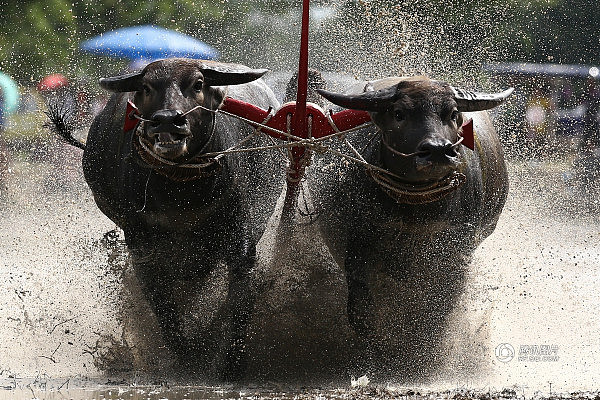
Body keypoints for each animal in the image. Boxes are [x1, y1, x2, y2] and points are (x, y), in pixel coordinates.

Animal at [79, 58, 284, 378]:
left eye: (198, 84)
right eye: (146, 86)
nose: (167, 120)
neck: (182, 190)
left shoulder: (239, 233)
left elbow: (240, 297)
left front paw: (232, 360)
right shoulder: (142, 245)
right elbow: (164, 308)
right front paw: (187, 354)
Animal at [312, 76, 512, 380]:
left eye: (453, 113)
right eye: (399, 114)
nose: (439, 150)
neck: (416, 209)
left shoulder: (459, 250)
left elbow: (440, 306)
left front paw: (424, 351)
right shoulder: (359, 240)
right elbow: (361, 311)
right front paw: (384, 350)